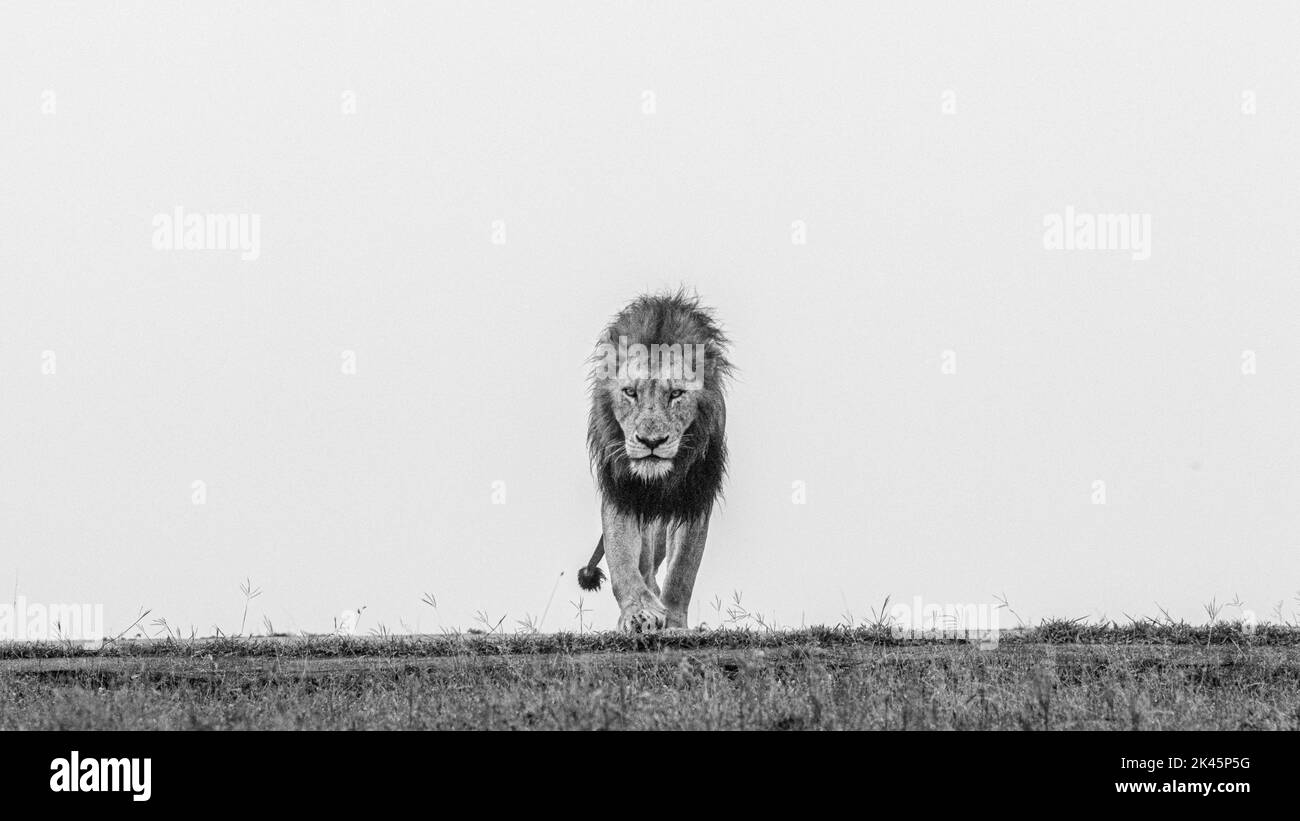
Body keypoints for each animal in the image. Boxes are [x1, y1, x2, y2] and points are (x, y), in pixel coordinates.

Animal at [577, 289, 733, 633]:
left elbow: (682, 569)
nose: (651, 442)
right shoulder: (622, 488)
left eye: (676, 393)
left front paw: (673, 620)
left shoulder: (694, 495)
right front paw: (638, 613)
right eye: (630, 392)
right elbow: (622, 557)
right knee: (645, 561)